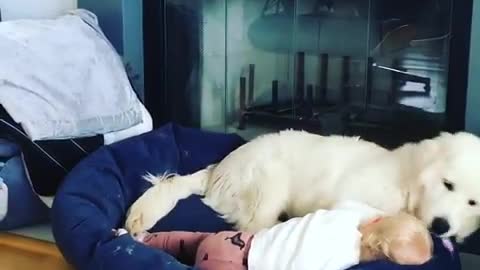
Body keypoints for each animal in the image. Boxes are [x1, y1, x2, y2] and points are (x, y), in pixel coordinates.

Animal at [125, 130, 480, 242]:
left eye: (473, 203)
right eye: (447, 184)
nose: (441, 226)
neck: (406, 183)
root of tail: (216, 170)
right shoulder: (347, 201)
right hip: (269, 184)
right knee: (254, 230)